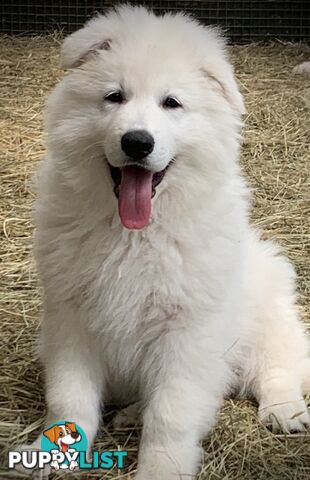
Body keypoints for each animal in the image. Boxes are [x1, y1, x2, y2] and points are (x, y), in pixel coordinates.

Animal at [30, 4, 308, 480]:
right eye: (115, 97)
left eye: (171, 103)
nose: (137, 142)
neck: (134, 234)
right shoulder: (70, 320)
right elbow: (70, 398)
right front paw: (52, 455)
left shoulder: (187, 333)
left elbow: (170, 415)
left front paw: (160, 469)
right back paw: (129, 414)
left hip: (267, 316)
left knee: (281, 364)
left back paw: (284, 409)